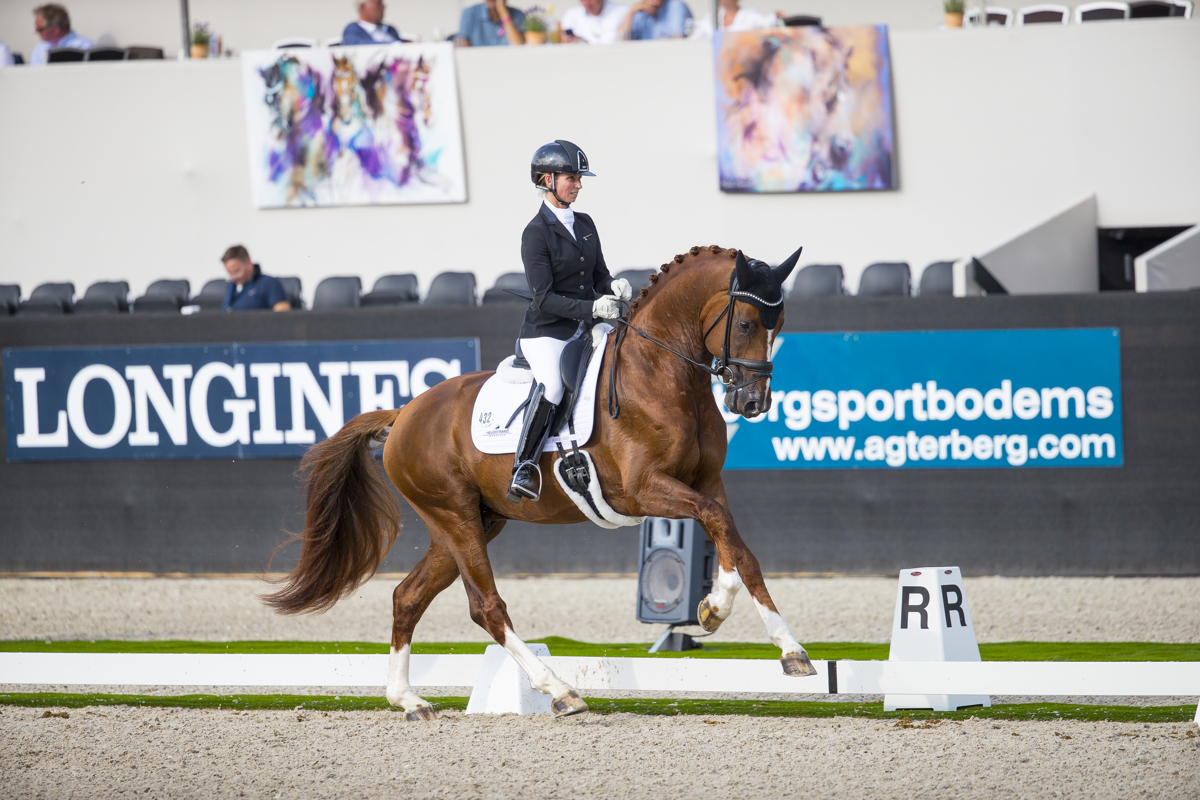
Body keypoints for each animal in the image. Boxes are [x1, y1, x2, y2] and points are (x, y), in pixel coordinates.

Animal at [263, 244, 816, 720]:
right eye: (744, 323)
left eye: (780, 325)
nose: (753, 403)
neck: (660, 372)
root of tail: (404, 414)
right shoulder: (644, 490)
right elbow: (719, 525)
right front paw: (760, 630)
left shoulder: (707, 482)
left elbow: (736, 547)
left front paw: (732, 618)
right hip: (454, 516)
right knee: (485, 606)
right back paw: (559, 690)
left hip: (469, 524)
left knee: (408, 597)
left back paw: (408, 700)